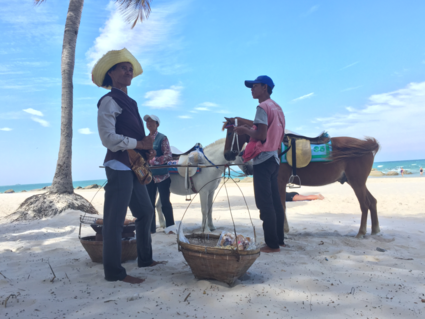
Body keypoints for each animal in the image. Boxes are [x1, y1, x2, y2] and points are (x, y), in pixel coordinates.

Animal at [224, 117, 380, 238]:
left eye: (230, 133)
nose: (227, 155)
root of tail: (365, 144)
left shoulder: (280, 182)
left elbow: (282, 206)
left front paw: (284, 230)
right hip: (357, 183)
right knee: (372, 201)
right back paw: (375, 230)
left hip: (357, 183)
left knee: (365, 205)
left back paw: (361, 232)